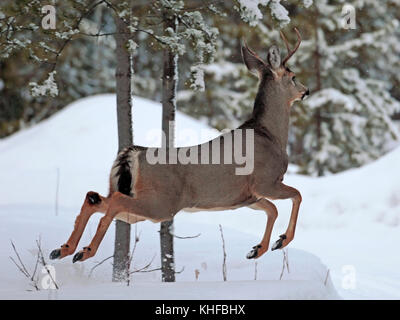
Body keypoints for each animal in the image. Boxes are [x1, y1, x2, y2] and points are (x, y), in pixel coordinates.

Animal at [49, 28, 306, 262]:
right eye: (293, 76)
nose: (306, 91)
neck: (270, 135)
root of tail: (132, 153)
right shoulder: (265, 181)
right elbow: (297, 195)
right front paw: (281, 241)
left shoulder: (247, 197)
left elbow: (272, 209)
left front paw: (258, 249)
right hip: (160, 203)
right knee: (112, 202)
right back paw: (84, 251)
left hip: (133, 198)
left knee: (94, 197)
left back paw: (63, 250)